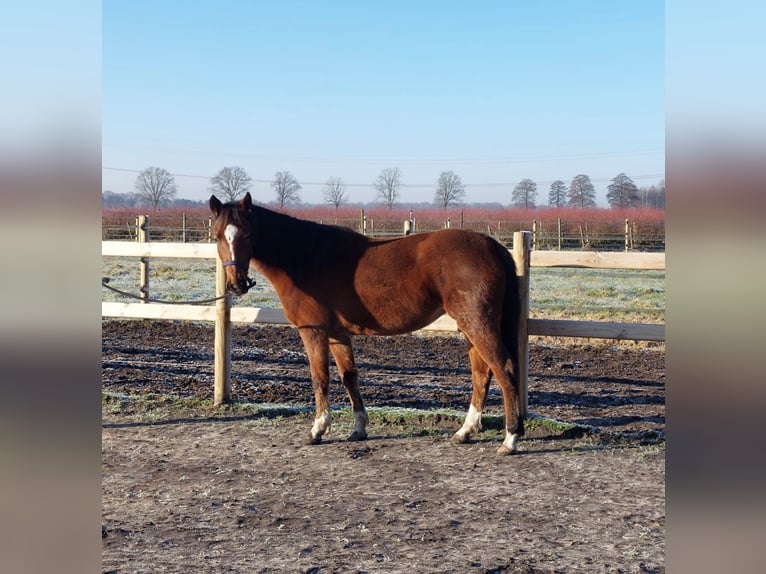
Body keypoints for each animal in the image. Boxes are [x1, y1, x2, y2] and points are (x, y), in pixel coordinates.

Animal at [207, 192, 524, 454]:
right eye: (218, 236)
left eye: (247, 234)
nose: (236, 284)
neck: (305, 257)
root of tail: (493, 246)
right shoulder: (338, 334)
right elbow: (350, 377)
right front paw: (358, 429)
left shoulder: (314, 331)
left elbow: (320, 378)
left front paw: (317, 430)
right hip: (470, 327)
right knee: (482, 373)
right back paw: (466, 431)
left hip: (477, 324)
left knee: (503, 369)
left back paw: (510, 439)